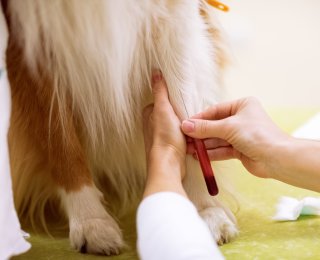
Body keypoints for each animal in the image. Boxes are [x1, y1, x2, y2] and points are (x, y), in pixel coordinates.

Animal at [1, 0, 238, 255]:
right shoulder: (28, 37)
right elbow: (60, 140)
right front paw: (91, 221)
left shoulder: (174, 16)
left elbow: (185, 112)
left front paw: (204, 207)